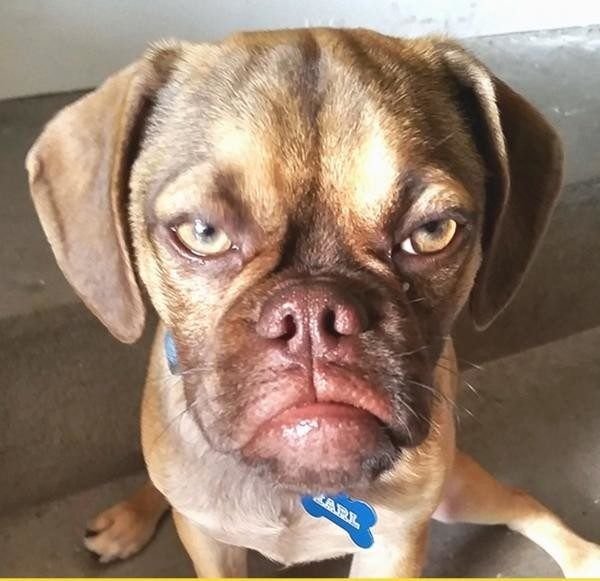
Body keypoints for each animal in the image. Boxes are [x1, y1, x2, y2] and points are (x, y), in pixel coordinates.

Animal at [26, 28, 600, 577]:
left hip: (458, 492)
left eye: (434, 231)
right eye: (202, 233)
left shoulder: (395, 545)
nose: (312, 314)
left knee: (522, 502)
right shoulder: (211, 544)